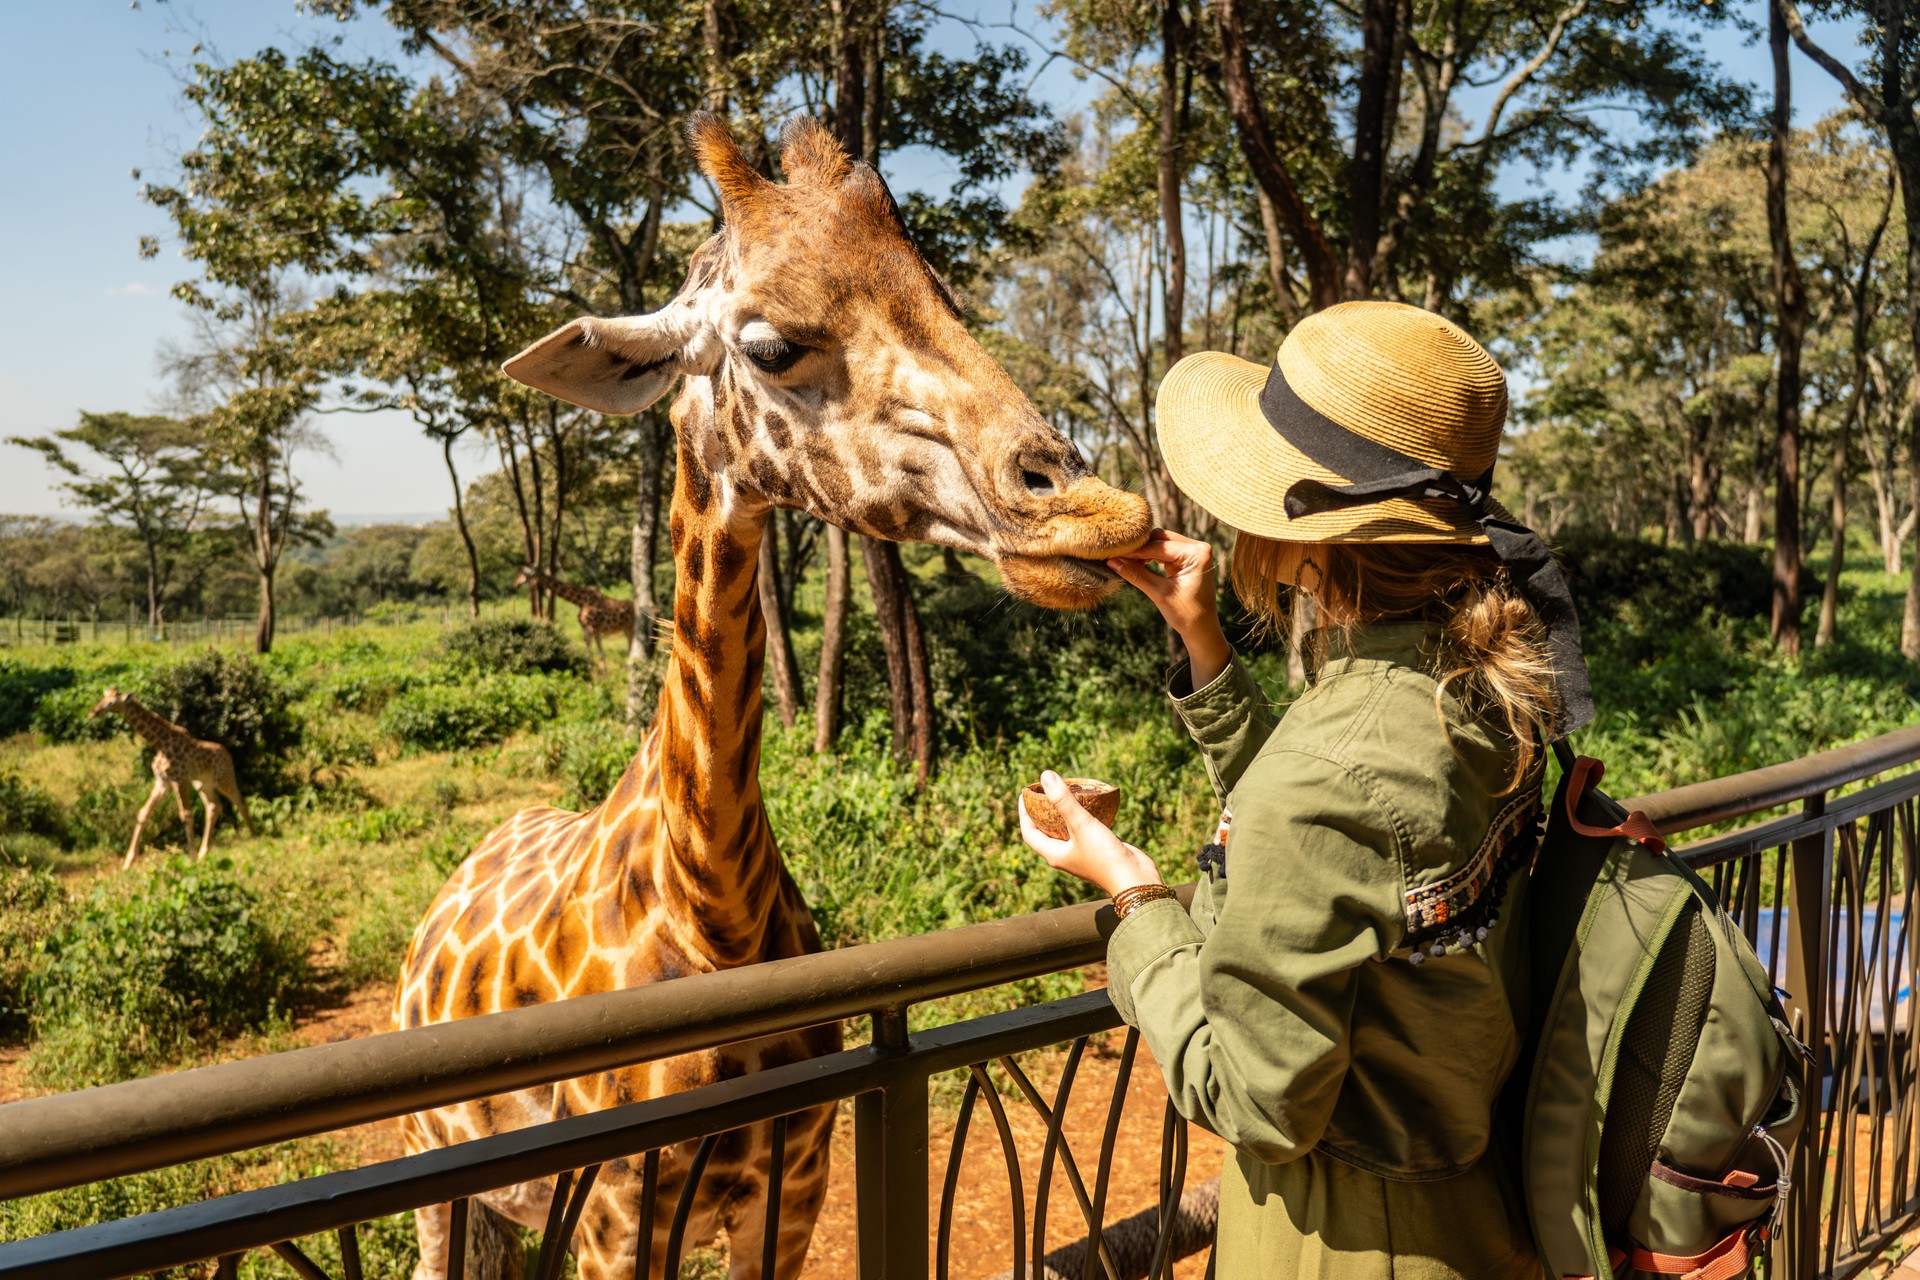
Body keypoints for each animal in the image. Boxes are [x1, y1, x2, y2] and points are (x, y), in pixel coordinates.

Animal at [87, 688, 255, 869]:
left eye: (111, 703)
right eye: (103, 699)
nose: (93, 712)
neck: (160, 744)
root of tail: (228, 754)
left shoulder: (179, 779)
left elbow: (186, 815)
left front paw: (191, 858)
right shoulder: (162, 782)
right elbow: (143, 813)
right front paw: (128, 862)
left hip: (224, 779)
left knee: (240, 800)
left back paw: (254, 836)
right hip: (203, 784)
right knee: (213, 806)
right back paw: (204, 852)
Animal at [393, 114, 1153, 1280]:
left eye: (947, 297)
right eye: (770, 347)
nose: (1095, 511)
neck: (714, 916)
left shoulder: (791, 1196)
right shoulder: (615, 1221)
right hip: (438, 1173)